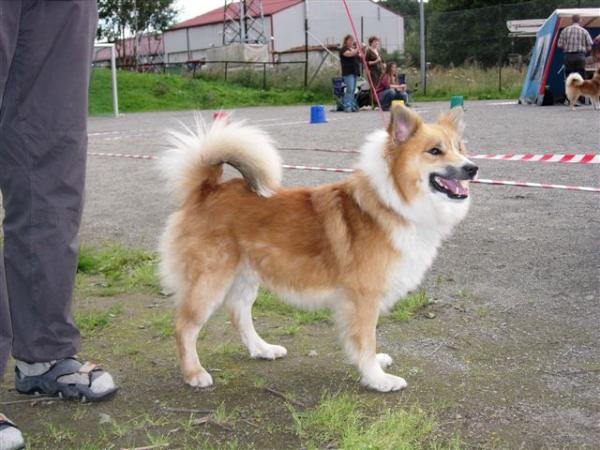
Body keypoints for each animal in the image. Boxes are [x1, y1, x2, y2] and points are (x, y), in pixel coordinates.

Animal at [158, 105, 478, 390]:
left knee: (239, 315)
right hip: (210, 280)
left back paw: (262, 349)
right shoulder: (363, 297)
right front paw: (377, 378)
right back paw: (194, 373)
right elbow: (365, 341)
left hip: (246, 276)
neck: (393, 203)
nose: (472, 168)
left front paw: (375, 365)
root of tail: (206, 190)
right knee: (184, 326)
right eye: (434, 151)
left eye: (460, 147)